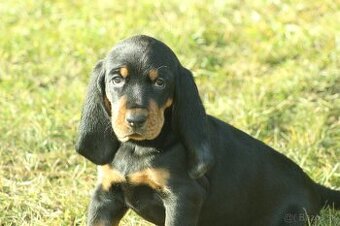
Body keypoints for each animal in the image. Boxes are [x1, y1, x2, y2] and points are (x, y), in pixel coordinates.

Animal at [75, 35, 338, 226]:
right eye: (117, 80)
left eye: (160, 82)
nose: (135, 120)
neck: (137, 148)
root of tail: (313, 186)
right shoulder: (106, 196)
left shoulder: (183, 196)